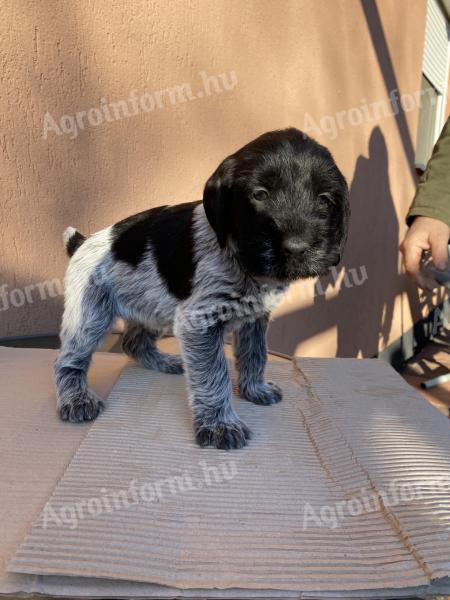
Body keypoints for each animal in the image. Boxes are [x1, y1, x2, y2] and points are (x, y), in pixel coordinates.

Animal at [56, 129, 350, 452]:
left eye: (324, 199)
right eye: (260, 194)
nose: (297, 248)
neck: (241, 260)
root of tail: (82, 242)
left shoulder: (254, 318)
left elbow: (256, 354)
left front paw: (254, 389)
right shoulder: (199, 322)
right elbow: (214, 375)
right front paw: (220, 424)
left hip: (153, 306)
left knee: (133, 342)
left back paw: (164, 362)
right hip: (90, 316)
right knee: (68, 360)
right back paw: (75, 398)